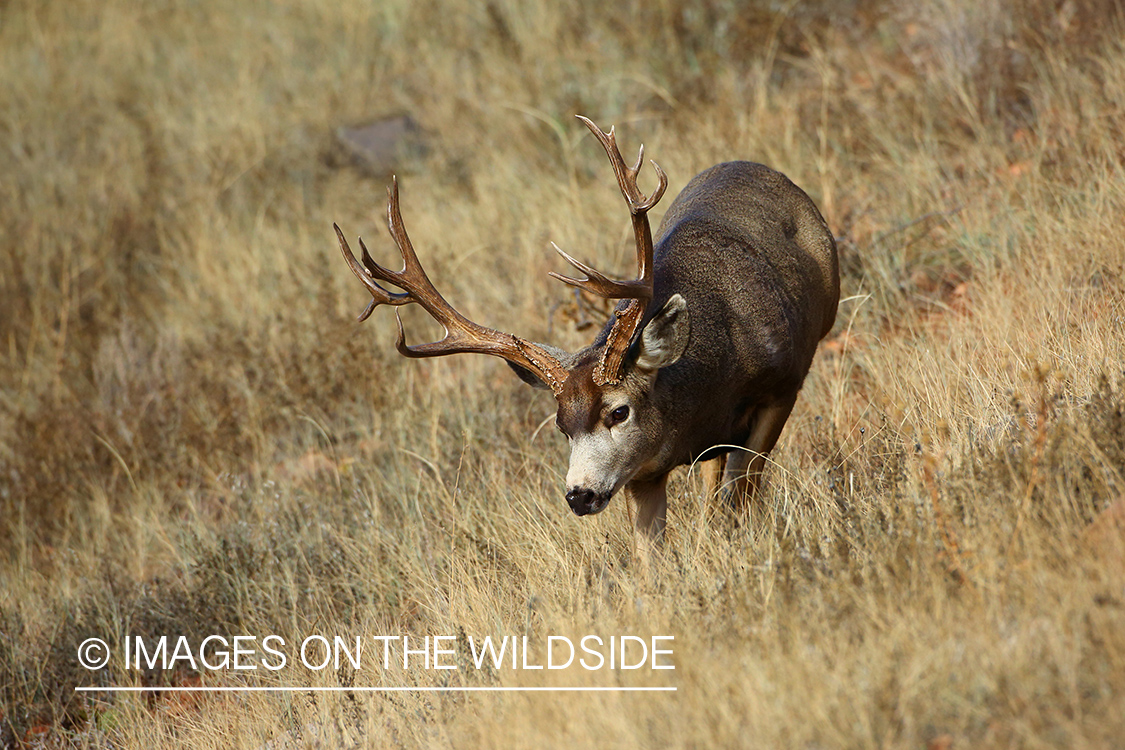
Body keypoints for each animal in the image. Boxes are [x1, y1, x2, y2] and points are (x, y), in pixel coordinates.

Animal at [334, 116, 839, 559]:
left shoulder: (782, 388)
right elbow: (650, 555)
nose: (579, 495)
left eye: (619, 411)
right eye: (561, 425)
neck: (710, 383)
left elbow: (738, 504)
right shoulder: (643, 471)